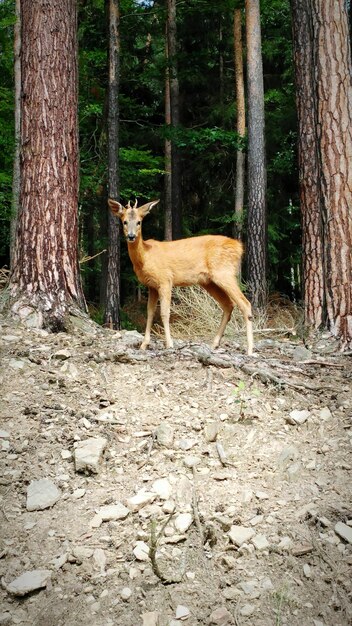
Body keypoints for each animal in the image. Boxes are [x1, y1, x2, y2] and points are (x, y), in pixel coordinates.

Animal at [108, 197, 253, 354]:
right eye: (124, 221)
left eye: (139, 222)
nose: (131, 236)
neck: (145, 256)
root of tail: (239, 247)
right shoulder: (151, 286)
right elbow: (150, 313)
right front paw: (144, 344)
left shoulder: (165, 279)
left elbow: (164, 313)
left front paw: (169, 344)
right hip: (209, 282)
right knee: (228, 305)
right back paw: (215, 343)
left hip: (224, 273)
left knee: (245, 303)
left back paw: (250, 349)